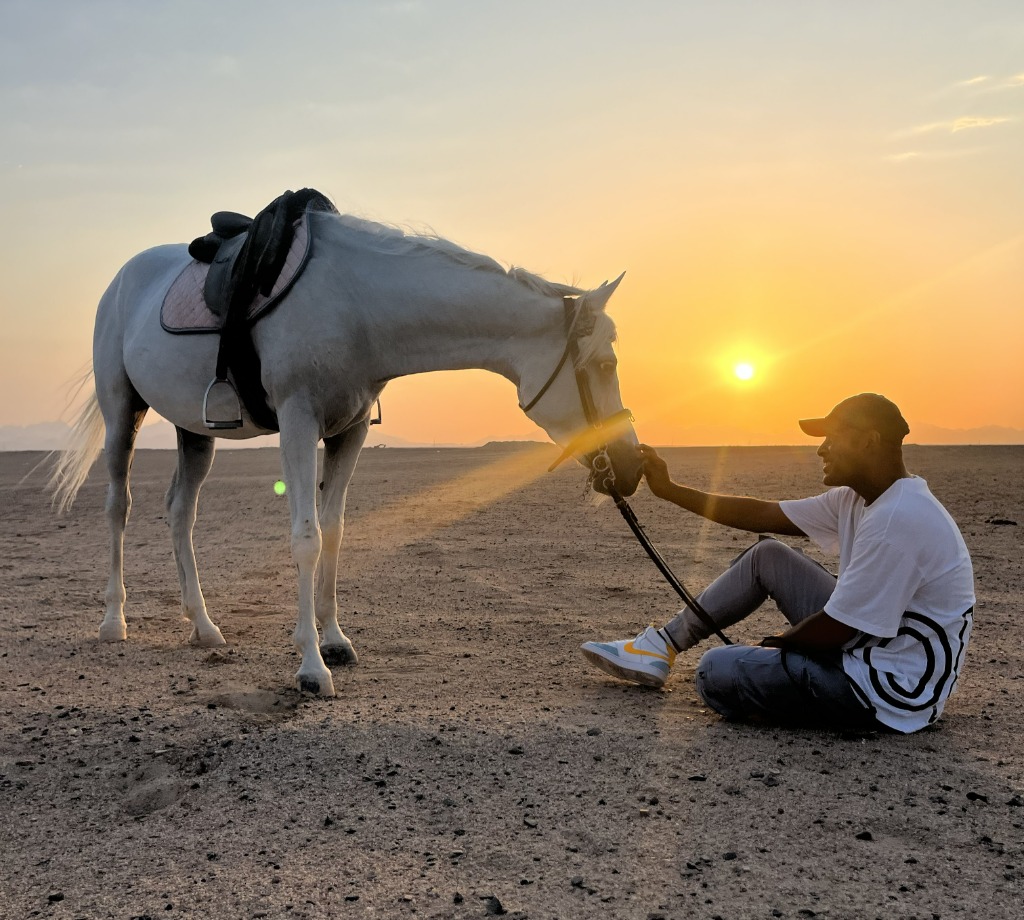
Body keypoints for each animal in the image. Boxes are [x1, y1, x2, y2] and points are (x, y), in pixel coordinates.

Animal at [50, 202, 642, 697]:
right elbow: (306, 538)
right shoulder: (298, 421)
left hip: (193, 429)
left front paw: (334, 640)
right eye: (605, 364)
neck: (358, 305)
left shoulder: (349, 431)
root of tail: (122, 278)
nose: (632, 465)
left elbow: (334, 531)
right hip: (121, 413)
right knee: (118, 506)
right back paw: (113, 621)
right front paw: (311, 667)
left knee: (180, 511)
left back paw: (203, 625)